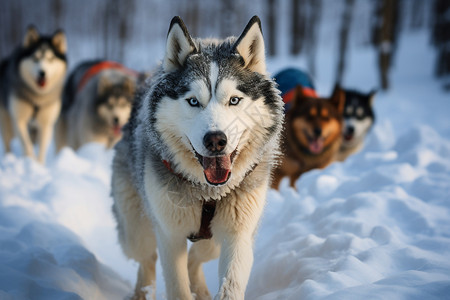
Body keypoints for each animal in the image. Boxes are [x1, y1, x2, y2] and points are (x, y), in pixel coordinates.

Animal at [0, 25, 67, 164]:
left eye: (51, 59)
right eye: (35, 58)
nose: (42, 73)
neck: (37, 97)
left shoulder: (46, 123)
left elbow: (41, 149)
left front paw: (39, 165)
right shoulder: (19, 120)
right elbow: (27, 145)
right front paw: (30, 162)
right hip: (6, 121)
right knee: (8, 142)